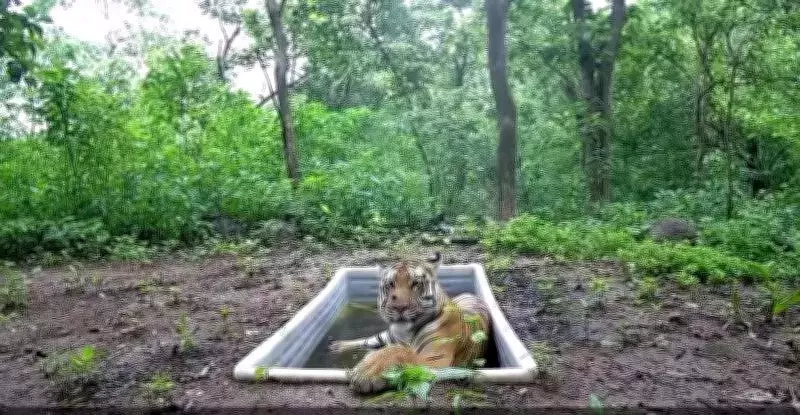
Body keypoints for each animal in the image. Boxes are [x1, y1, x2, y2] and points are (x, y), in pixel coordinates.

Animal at [329, 252, 491, 394]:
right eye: (390, 284)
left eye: (416, 283)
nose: (399, 307)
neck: (405, 333)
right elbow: (394, 348)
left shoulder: (435, 358)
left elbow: (400, 351)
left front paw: (366, 373)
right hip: (385, 336)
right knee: (367, 340)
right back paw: (337, 346)